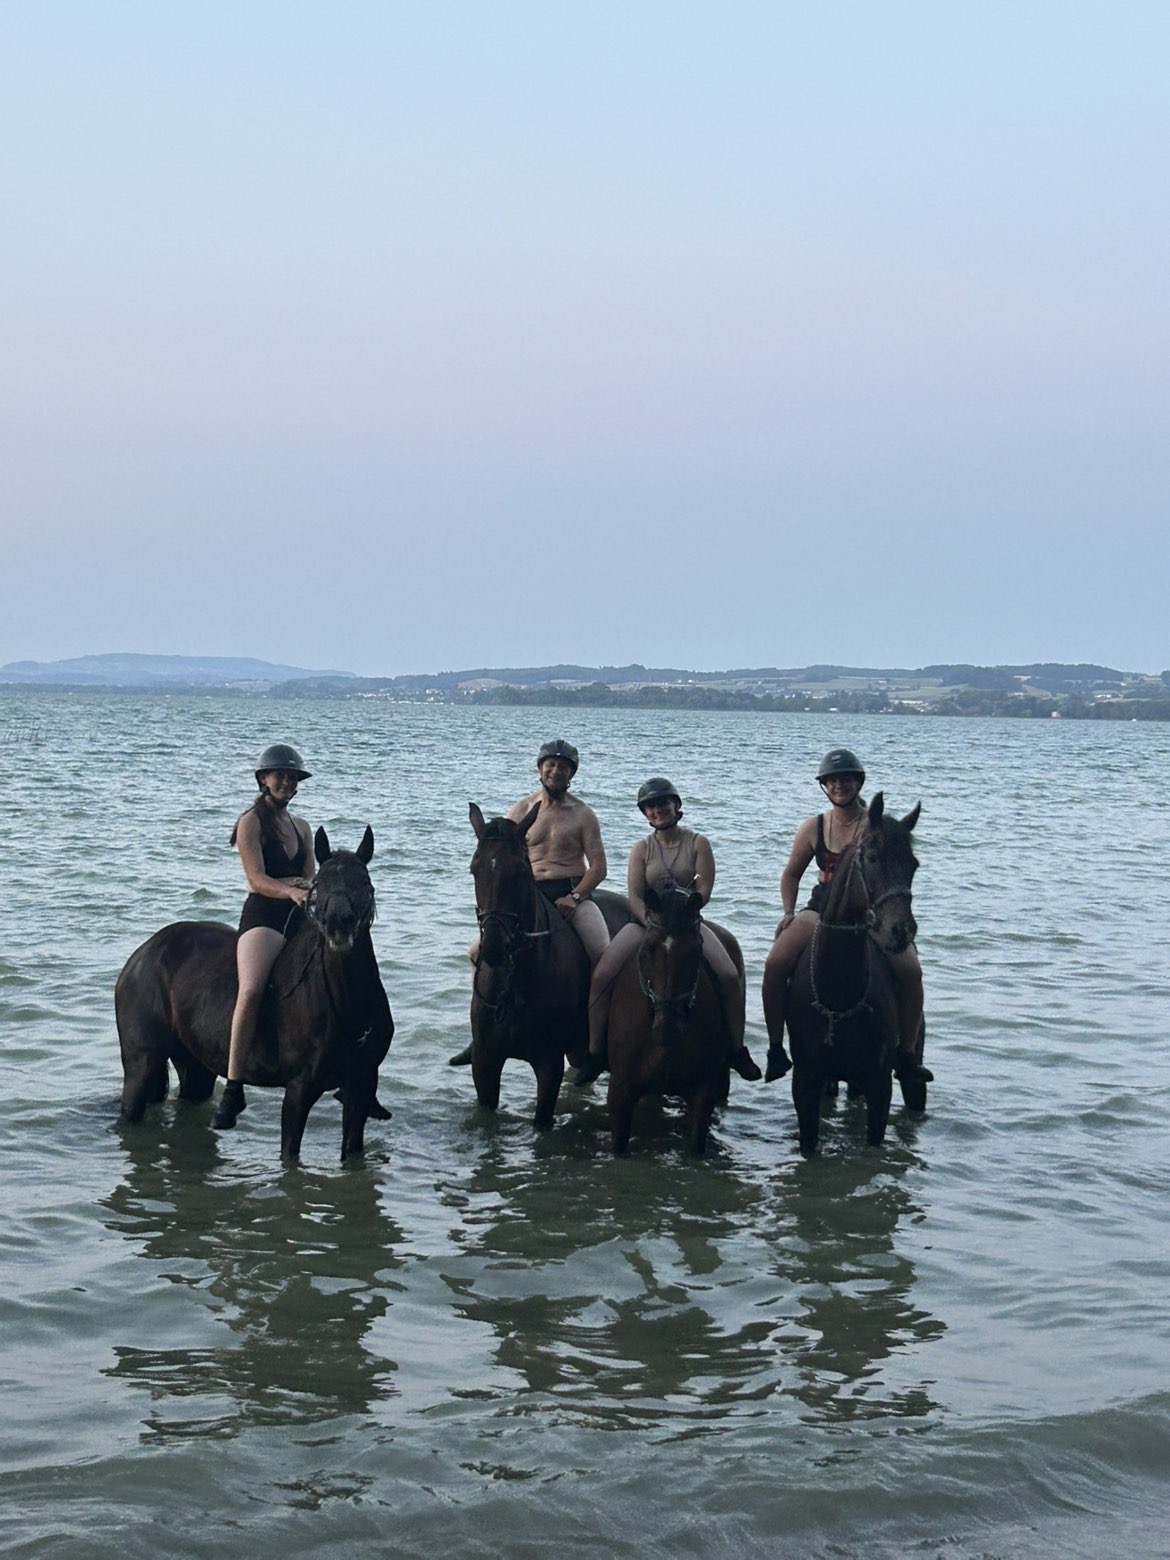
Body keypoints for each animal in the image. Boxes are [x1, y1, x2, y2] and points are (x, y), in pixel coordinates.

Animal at [115, 826, 393, 1161]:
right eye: (319, 884)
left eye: (364, 882)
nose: (339, 924)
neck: (348, 1006)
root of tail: (140, 956)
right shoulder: (299, 1090)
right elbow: (290, 1155)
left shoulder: (360, 1085)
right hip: (140, 1063)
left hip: (194, 1065)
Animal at [466, 802, 632, 1128]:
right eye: (474, 869)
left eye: (520, 870)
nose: (494, 947)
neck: (515, 984)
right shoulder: (484, 1062)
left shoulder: (548, 1062)